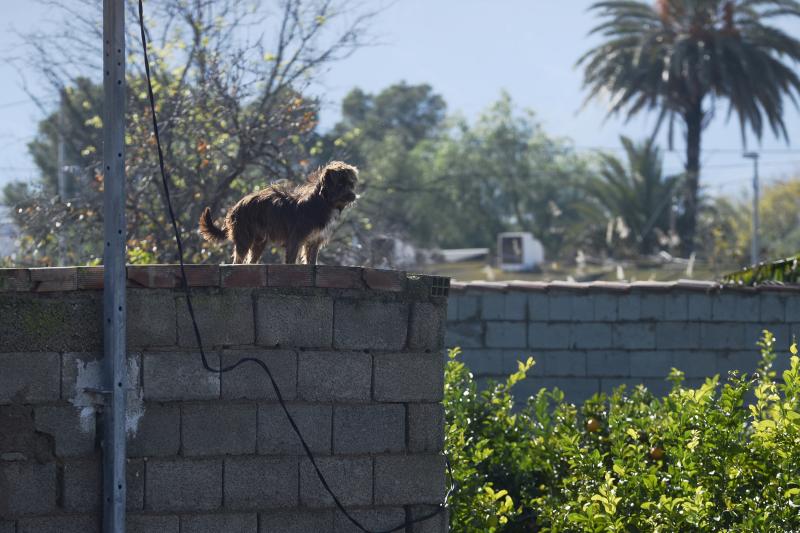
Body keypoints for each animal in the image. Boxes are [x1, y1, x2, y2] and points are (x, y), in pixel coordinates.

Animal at [200, 160, 360, 264]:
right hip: (244, 238)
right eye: (340, 184)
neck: (323, 202)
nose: (353, 196)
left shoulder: (314, 242)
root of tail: (236, 206)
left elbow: (311, 261)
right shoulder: (295, 240)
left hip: (259, 242)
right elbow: (291, 260)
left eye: (351, 184)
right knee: (238, 260)